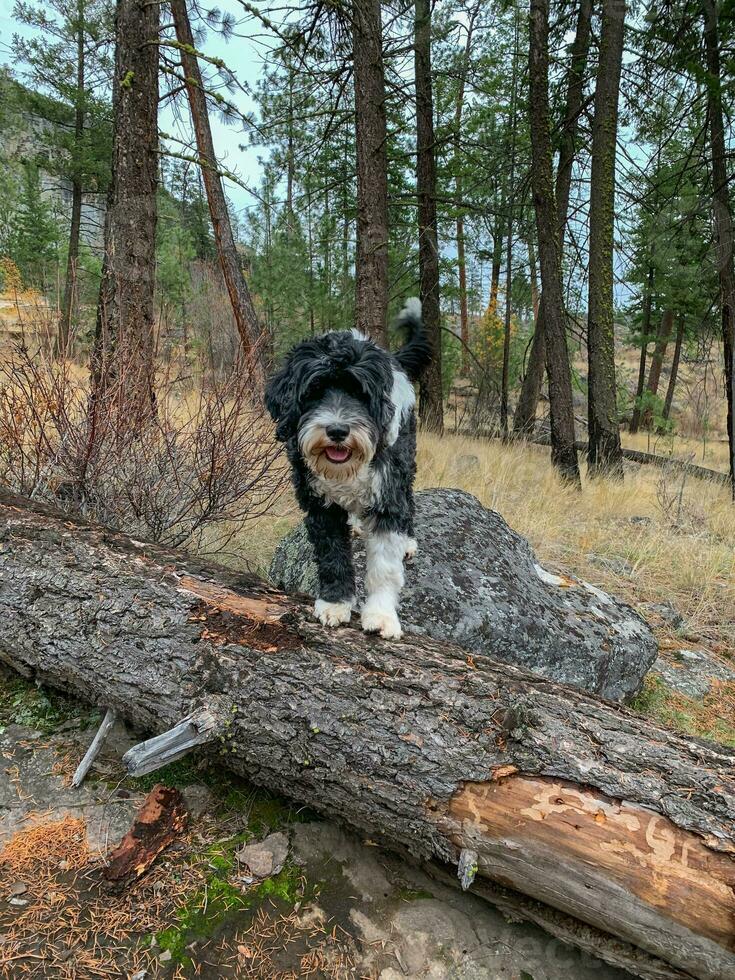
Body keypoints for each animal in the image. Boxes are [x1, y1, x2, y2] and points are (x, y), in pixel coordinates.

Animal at [266, 298, 432, 640]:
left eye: (360, 393)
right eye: (314, 390)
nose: (338, 430)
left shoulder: (387, 494)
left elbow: (384, 567)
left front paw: (381, 615)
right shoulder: (320, 504)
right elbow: (332, 555)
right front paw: (335, 603)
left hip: (406, 460)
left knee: (408, 498)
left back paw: (408, 540)